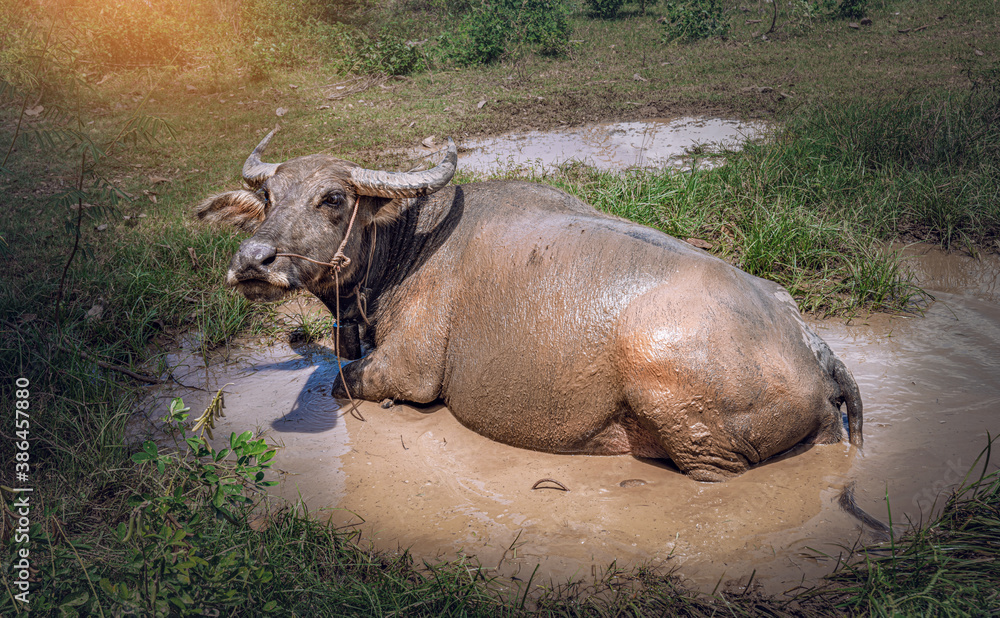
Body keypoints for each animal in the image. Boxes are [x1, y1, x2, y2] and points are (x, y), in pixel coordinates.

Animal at [198, 129, 862, 482]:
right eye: (269, 197)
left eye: (333, 198)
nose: (253, 259)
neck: (408, 244)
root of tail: (809, 344)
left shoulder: (410, 369)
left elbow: (342, 381)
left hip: (693, 426)